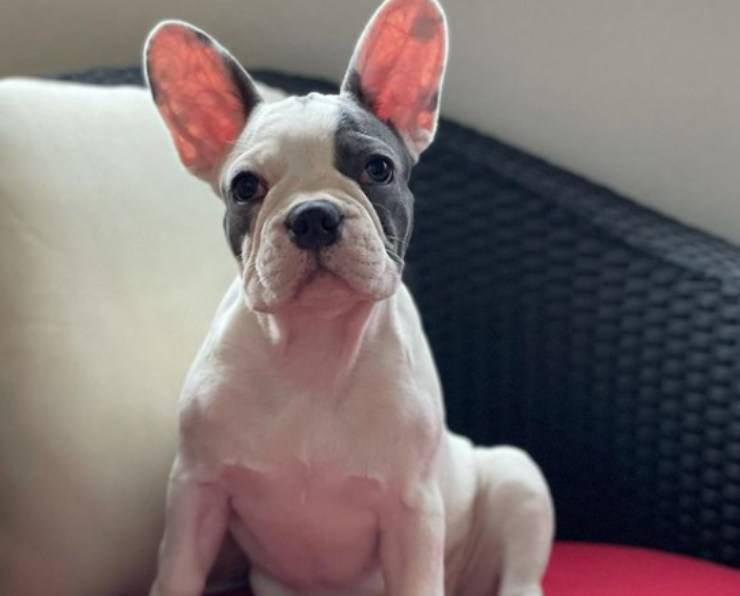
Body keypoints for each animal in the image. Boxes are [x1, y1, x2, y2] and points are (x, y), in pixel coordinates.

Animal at [143, 1, 554, 595]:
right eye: (245, 187)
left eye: (378, 168)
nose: (314, 214)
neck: (314, 345)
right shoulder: (197, 493)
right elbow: (176, 573)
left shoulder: (412, 512)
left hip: (518, 481)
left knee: (521, 570)